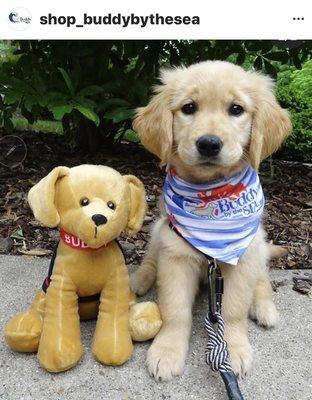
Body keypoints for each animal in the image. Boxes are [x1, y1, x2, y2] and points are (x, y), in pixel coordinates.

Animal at [130, 60, 292, 382]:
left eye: (236, 109)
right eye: (189, 107)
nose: (208, 144)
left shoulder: (242, 259)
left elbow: (232, 310)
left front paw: (233, 349)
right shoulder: (175, 256)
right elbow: (175, 310)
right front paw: (167, 350)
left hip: (258, 244)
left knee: (262, 279)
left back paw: (264, 307)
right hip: (160, 231)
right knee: (151, 259)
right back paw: (140, 280)